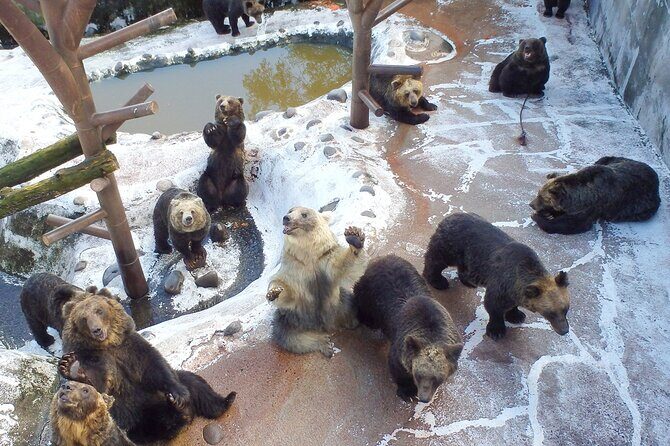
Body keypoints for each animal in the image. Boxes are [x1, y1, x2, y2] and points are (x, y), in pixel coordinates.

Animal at [58, 293, 236, 443]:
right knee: (155, 427)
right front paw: (70, 367)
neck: (108, 345)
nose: (96, 330)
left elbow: (153, 366)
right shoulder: (95, 359)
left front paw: (179, 395)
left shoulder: (129, 347)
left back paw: (222, 401)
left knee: (195, 383)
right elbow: (99, 386)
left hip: (168, 387)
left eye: (99, 310)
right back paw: (179, 414)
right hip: (136, 419)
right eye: (84, 318)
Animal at [266, 206, 367, 357]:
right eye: (290, 210)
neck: (308, 254)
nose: (286, 218)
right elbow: (285, 285)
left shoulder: (324, 258)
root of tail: (321, 325)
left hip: (339, 303)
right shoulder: (294, 266)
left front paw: (354, 236)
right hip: (290, 318)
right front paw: (274, 292)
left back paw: (354, 323)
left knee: (350, 305)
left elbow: (343, 265)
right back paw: (326, 344)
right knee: (292, 338)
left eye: (304, 214)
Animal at [354, 255, 463, 403]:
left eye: (437, 378)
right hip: (369, 295)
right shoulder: (400, 346)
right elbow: (397, 367)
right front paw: (407, 392)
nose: (424, 398)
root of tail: (383, 257)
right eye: (419, 374)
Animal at [422, 212, 570, 340]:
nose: (564, 330)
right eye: (550, 313)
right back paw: (438, 281)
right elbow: (494, 305)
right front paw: (496, 330)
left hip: (468, 257)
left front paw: (516, 315)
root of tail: (449, 216)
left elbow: (512, 305)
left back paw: (468, 282)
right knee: (436, 259)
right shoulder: (501, 283)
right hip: (451, 245)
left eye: (566, 309)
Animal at [530, 157, 661, 234]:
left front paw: (539, 216)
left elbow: (571, 224)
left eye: (542, 198)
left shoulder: (594, 206)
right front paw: (547, 213)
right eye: (538, 193)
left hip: (644, 207)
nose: (531, 204)